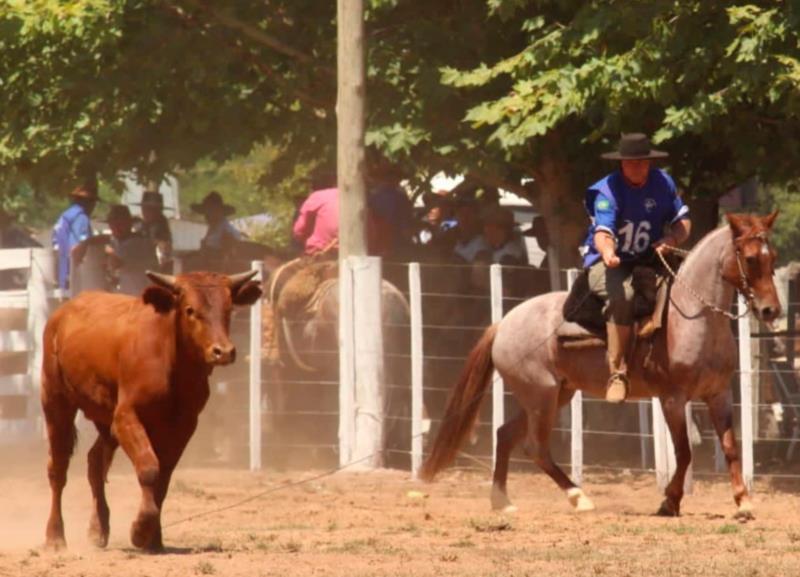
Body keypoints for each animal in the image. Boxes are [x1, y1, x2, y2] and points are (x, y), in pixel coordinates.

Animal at [41, 268, 260, 548]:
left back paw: (98, 528)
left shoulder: (183, 425)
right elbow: (149, 469)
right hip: (56, 402)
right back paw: (55, 536)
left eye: (229, 308)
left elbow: (163, 478)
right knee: (58, 468)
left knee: (95, 462)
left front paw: (154, 537)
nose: (223, 351)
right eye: (190, 309)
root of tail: (63, 311)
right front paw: (141, 529)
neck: (170, 359)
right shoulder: (126, 417)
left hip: (104, 419)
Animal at [422, 212, 780, 516]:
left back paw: (503, 501)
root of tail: (503, 324)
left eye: (773, 258)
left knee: (504, 434)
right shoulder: (672, 399)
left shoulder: (718, 394)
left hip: (552, 396)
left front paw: (743, 502)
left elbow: (731, 447)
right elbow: (684, 453)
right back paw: (578, 497)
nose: (771, 310)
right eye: (750, 258)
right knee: (535, 447)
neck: (692, 316)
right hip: (541, 397)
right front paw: (670, 500)